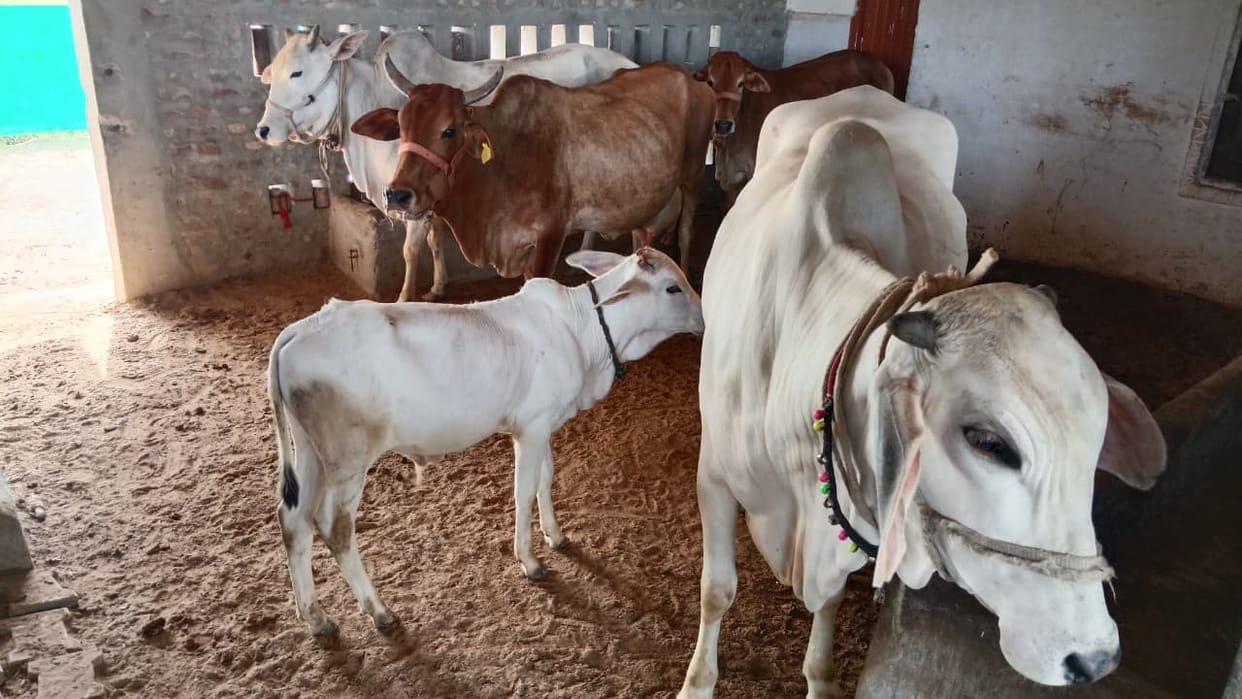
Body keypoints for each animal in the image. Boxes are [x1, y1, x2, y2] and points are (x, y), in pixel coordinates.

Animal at [255, 25, 636, 301]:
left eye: (298, 72)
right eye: (273, 72)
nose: (264, 129)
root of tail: (630, 63)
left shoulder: (413, 202)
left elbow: (411, 251)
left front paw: (404, 298)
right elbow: (435, 243)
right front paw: (437, 288)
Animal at [268, 248, 704, 637]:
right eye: (672, 288)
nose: (705, 317)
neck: (582, 331)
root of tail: (302, 327)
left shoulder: (544, 423)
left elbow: (546, 480)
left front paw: (556, 536)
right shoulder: (531, 427)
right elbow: (524, 490)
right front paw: (530, 560)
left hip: (311, 454)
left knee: (294, 521)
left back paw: (316, 618)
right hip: (348, 461)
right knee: (335, 528)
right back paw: (379, 610)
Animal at [350, 62, 715, 279]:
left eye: (450, 130)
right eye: (401, 126)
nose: (397, 194)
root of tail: (690, 78)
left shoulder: (551, 234)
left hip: (694, 176)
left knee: (686, 231)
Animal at [677, 91, 1167, 696]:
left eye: (1094, 449)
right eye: (989, 442)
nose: (1094, 658)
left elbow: (829, 601)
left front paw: (820, 676)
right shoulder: (713, 475)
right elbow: (717, 590)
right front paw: (696, 682)